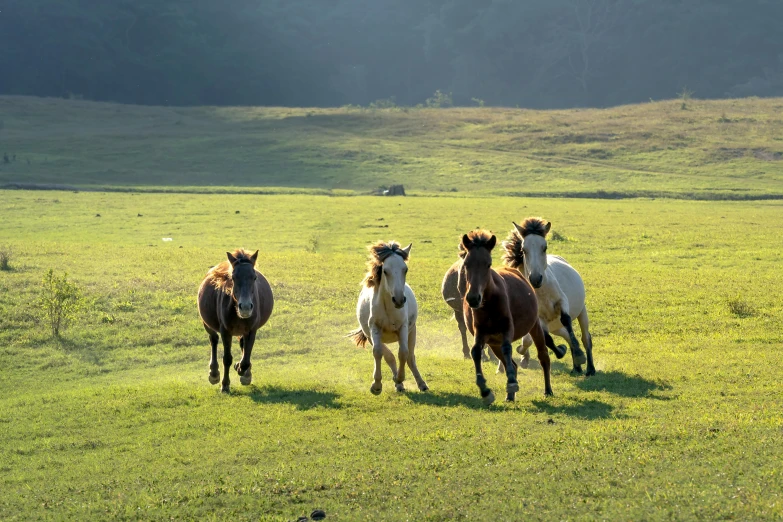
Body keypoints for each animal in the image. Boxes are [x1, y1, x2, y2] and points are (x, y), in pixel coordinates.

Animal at [198, 248, 274, 390]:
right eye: (233, 277)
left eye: (254, 277)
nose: (245, 307)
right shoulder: (225, 331)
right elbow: (227, 359)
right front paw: (225, 385)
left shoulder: (251, 330)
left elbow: (246, 359)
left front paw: (241, 369)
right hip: (207, 324)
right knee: (213, 340)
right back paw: (214, 373)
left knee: (243, 346)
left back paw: (245, 374)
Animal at [346, 242, 426, 392]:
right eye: (385, 271)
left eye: (405, 269)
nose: (399, 300)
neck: (389, 308)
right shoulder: (374, 329)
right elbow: (379, 353)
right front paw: (377, 386)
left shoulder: (403, 327)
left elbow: (403, 353)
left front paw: (400, 378)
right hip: (371, 336)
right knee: (388, 356)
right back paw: (398, 384)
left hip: (412, 331)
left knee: (410, 358)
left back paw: (421, 384)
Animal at [460, 229, 556, 402]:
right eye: (466, 264)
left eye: (488, 264)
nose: (473, 298)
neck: (489, 305)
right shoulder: (481, 333)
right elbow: (476, 352)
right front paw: (485, 390)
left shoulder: (507, 329)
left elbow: (507, 347)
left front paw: (511, 382)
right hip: (493, 342)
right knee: (510, 363)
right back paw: (510, 396)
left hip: (534, 326)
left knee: (543, 357)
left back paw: (548, 390)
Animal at [502, 218, 596, 374]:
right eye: (523, 250)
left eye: (544, 247)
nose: (535, 279)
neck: (542, 292)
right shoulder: (539, 319)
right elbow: (547, 339)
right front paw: (563, 351)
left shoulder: (561, 301)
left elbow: (566, 320)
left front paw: (579, 355)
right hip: (555, 326)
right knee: (565, 335)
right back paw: (576, 367)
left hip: (582, 312)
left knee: (585, 338)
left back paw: (590, 368)